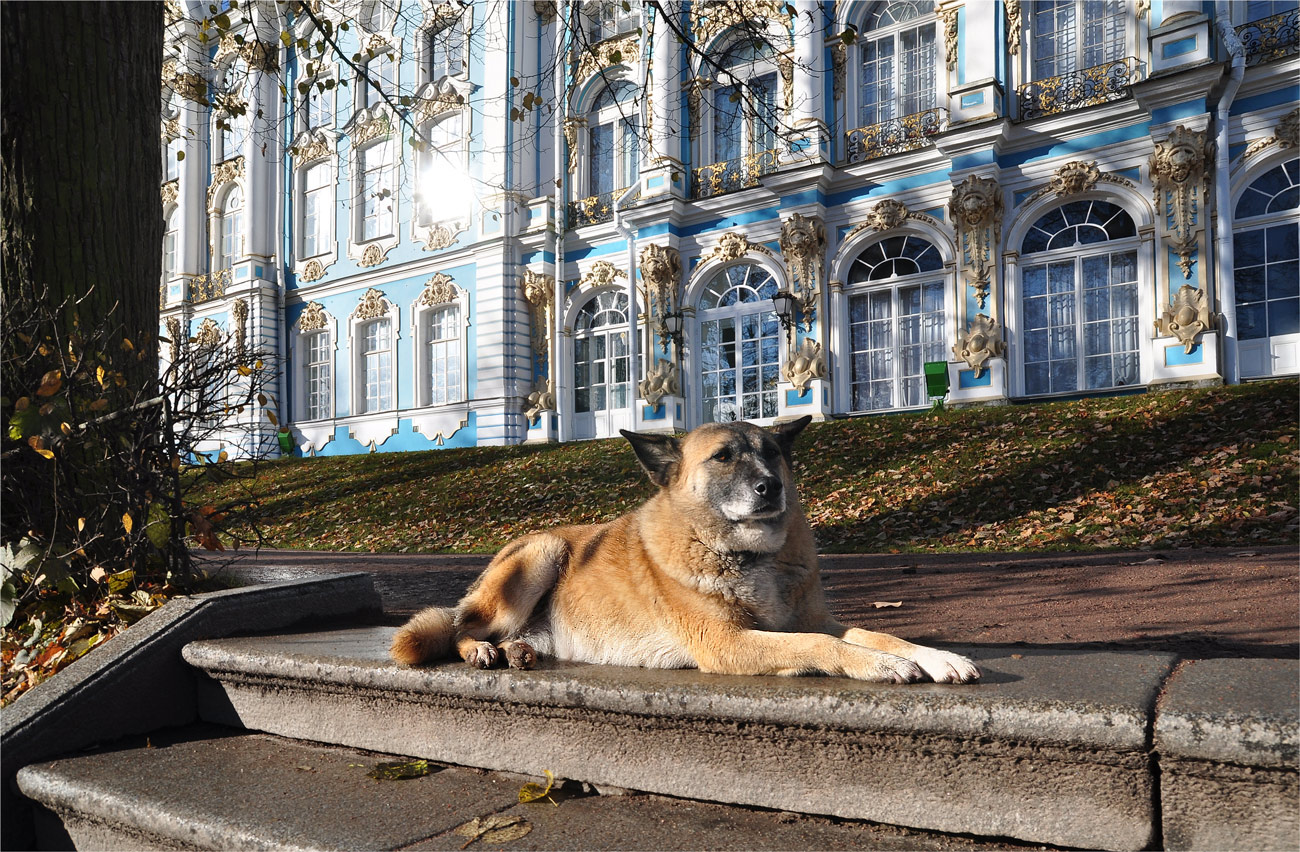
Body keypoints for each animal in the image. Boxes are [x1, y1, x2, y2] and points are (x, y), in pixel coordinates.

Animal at [390, 416, 977, 686]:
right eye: (723, 457)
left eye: (772, 454)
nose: (771, 487)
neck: (749, 556)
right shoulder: (728, 643)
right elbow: (820, 645)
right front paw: (879, 665)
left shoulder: (809, 619)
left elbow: (878, 633)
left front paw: (935, 656)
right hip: (542, 552)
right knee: (461, 627)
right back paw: (482, 650)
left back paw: (516, 650)